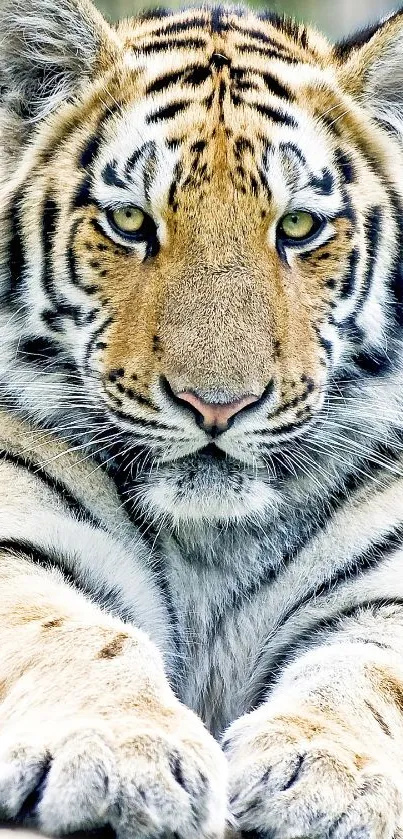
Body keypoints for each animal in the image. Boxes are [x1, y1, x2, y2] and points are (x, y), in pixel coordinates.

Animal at [1, 0, 403, 836]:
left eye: (298, 228)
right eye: (129, 220)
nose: (217, 403)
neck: (211, 545)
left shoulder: (384, 589)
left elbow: (363, 673)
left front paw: (329, 774)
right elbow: (77, 633)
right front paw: (119, 753)